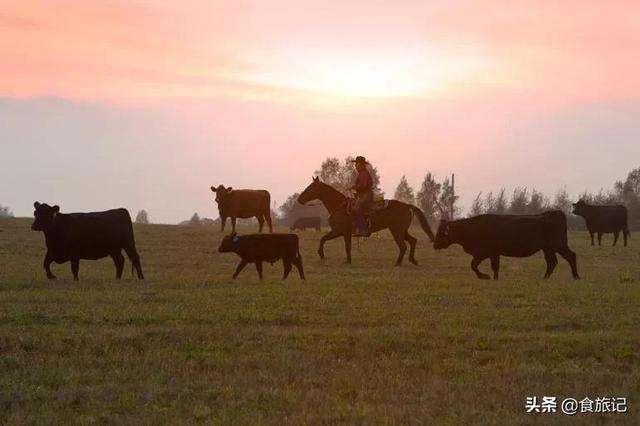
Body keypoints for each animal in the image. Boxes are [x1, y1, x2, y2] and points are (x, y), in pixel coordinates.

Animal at [298, 176, 432, 262]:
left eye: (310, 187)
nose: (299, 199)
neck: (339, 206)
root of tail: (406, 205)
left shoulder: (340, 231)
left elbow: (329, 241)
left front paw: (322, 254)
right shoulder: (342, 233)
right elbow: (331, 241)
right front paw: (346, 260)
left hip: (397, 230)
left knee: (403, 246)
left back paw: (398, 264)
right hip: (402, 230)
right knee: (413, 241)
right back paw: (412, 260)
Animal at [432, 211, 576, 282]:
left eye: (441, 232)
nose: (434, 244)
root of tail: (554, 213)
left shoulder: (488, 253)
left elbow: (478, 266)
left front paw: (486, 277)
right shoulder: (488, 254)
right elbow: (480, 266)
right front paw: (491, 277)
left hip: (559, 245)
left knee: (570, 256)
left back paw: (575, 277)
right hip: (548, 249)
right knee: (552, 262)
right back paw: (545, 278)